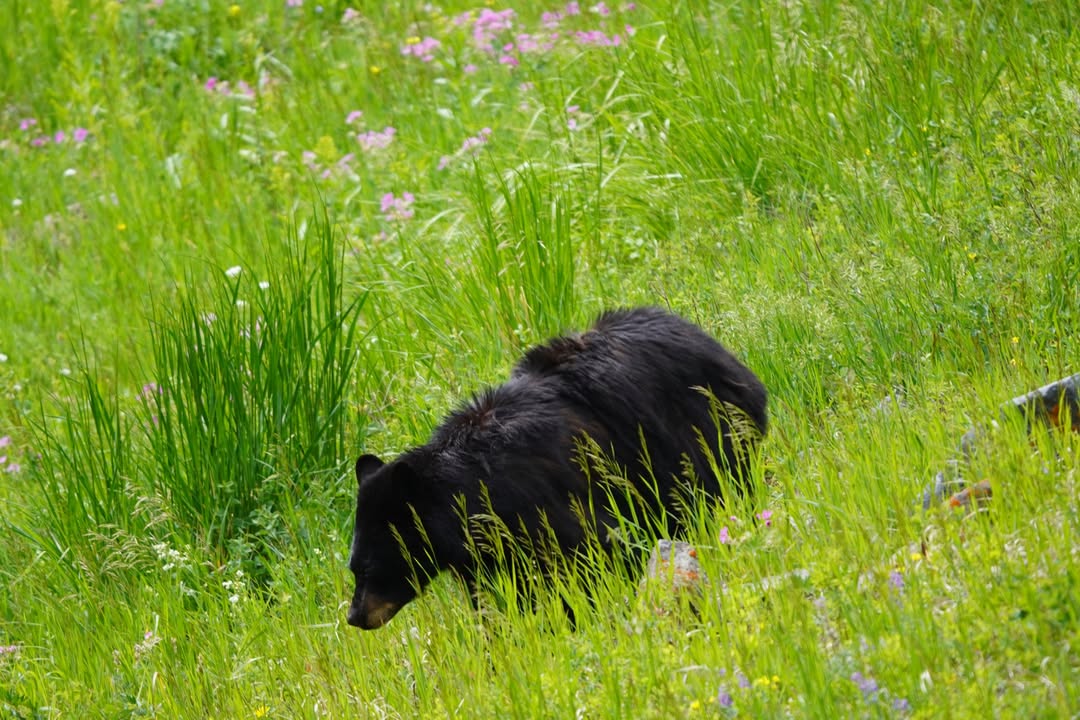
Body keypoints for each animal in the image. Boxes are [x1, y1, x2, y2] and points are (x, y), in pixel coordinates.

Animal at [347, 306, 767, 629]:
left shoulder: (550, 508)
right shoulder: (487, 554)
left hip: (698, 438)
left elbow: (595, 558)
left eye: (367, 568)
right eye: (353, 568)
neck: (467, 491)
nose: (355, 616)